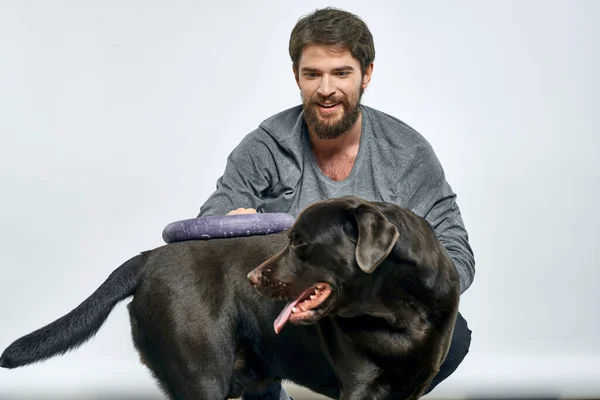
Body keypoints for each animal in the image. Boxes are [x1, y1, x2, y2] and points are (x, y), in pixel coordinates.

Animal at [1, 197, 460, 400]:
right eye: (288, 237)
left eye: (300, 242)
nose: (252, 277)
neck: (398, 313)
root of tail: (149, 257)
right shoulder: (360, 387)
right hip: (203, 377)